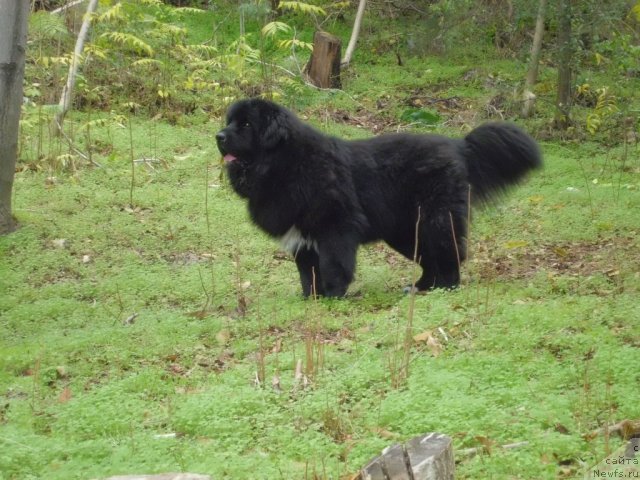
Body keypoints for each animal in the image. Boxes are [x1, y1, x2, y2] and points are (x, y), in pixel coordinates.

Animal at [216, 98, 540, 296]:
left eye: (246, 125)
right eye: (230, 121)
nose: (219, 136)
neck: (286, 165)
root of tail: (458, 146)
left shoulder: (336, 227)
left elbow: (333, 265)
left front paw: (333, 294)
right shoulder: (301, 238)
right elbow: (307, 272)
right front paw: (311, 298)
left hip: (435, 220)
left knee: (450, 254)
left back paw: (446, 287)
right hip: (405, 230)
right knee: (429, 259)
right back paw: (420, 288)